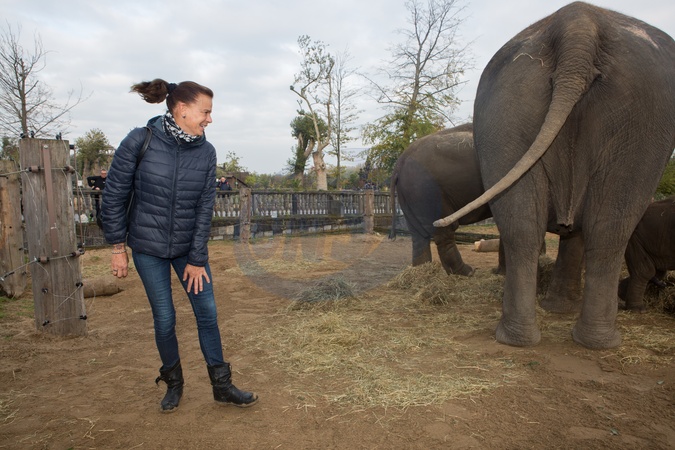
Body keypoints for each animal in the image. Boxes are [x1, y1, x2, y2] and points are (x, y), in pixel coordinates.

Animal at [389, 123, 498, 276]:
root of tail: (399, 164)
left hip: (410, 194)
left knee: (418, 235)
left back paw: (422, 271)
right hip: (427, 192)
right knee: (445, 231)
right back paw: (466, 272)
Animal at [434, 2, 675, 349]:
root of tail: (578, 25)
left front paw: (557, 308)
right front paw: (561, 308)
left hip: (506, 109)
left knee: (526, 227)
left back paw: (523, 338)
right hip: (644, 119)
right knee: (609, 229)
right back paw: (597, 339)